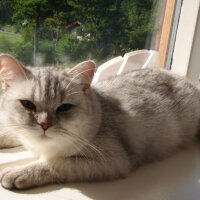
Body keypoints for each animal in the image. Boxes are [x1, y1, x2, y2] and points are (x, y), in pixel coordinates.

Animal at [0, 53, 200, 189]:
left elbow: (54, 164)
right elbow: (13, 132)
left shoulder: (111, 161)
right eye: (28, 104)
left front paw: (17, 173)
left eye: (64, 107)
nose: (45, 125)